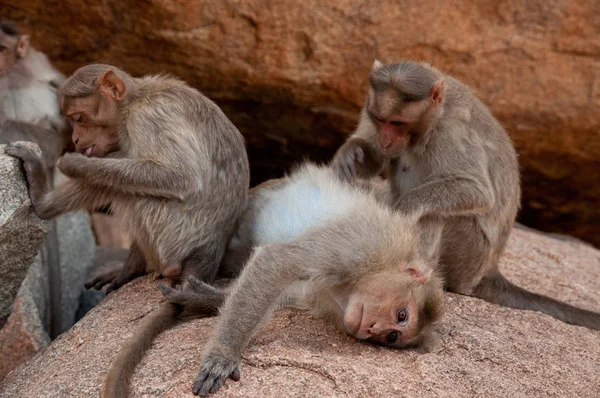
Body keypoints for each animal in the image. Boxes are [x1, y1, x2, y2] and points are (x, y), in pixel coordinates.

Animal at [4, 63, 250, 296]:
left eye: (79, 119)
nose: (75, 139)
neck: (133, 100)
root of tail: (210, 253)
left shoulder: (147, 117)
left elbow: (181, 178)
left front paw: (75, 164)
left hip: (173, 238)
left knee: (128, 186)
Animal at [105, 162, 446, 398]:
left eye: (392, 337)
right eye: (401, 315)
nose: (373, 329)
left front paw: (205, 299)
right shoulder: (364, 245)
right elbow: (280, 262)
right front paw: (223, 354)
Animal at [328, 59, 600, 330]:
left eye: (397, 123)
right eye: (378, 119)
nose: (385, 141)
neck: (431, 121)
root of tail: (489, 270)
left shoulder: (452, 130)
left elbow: (476, 191)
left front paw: (402, 208)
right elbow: (374, 157)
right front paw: (351, 154)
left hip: (469, 258)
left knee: (437, 214)